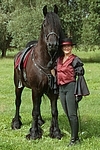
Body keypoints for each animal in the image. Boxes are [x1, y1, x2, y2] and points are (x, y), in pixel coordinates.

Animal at [11, 4, 65, 141]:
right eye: (44, 24)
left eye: (59, 24)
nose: (52, 44)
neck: (45, 61)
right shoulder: (35, 89)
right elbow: (34, 111)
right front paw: (34, 133)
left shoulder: (53, 91)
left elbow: (54, 111)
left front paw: (56, 132)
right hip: (18, 86)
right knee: (18, 102)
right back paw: (16, 123)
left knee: (38, 104)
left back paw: (40, 121)